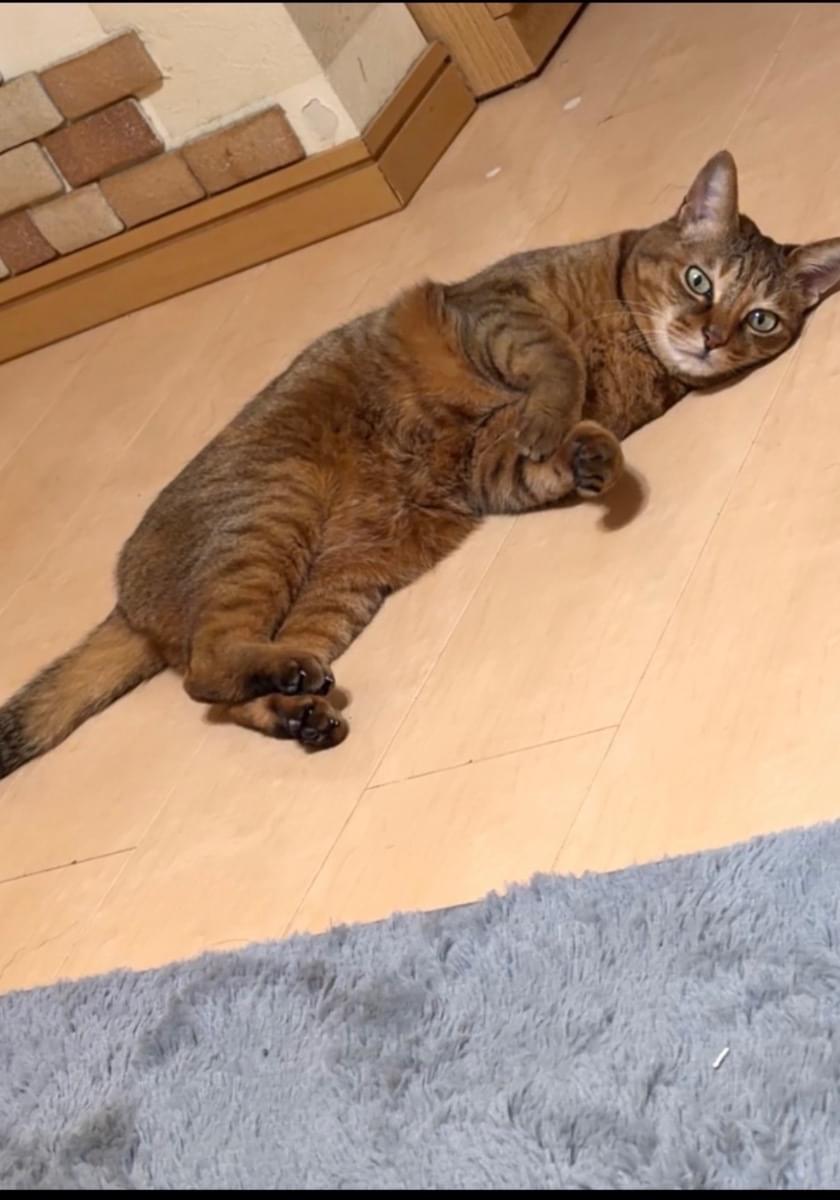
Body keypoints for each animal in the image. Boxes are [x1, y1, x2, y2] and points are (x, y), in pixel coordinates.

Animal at [2, 149, 839, 780]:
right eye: (700, 282)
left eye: (760, 319)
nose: (711, 338)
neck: (631, 350)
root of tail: (126, 603)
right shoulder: (496, 310)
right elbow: (557, 365)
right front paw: (561, 417)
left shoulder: (485, 463)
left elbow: (547, 450)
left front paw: (589, 452)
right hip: (272, 511)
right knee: (204, 670)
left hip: (340, 589)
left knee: (222, 690)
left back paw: (300, 708)